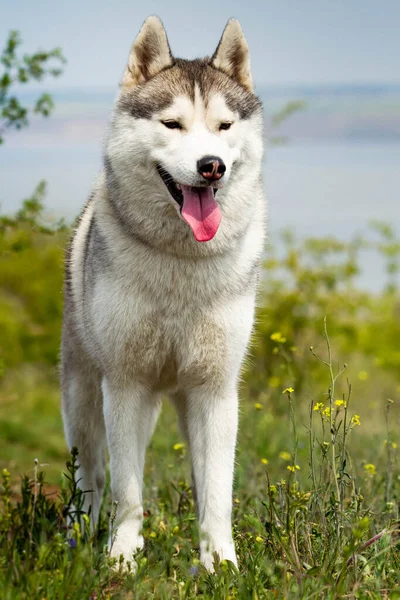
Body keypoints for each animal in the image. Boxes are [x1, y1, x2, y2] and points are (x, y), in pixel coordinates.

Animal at [61, 15, 264, 572]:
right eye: (172, 125)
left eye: (223, 127)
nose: (211, 165)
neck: (181, 262)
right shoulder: (125, 384)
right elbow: (127, 490)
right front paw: (122, 558)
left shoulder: (216, 390)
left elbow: (217, 493)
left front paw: (221, 565)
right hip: (86, 400)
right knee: (90, 477)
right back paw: (76, 537)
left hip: (182, 402)